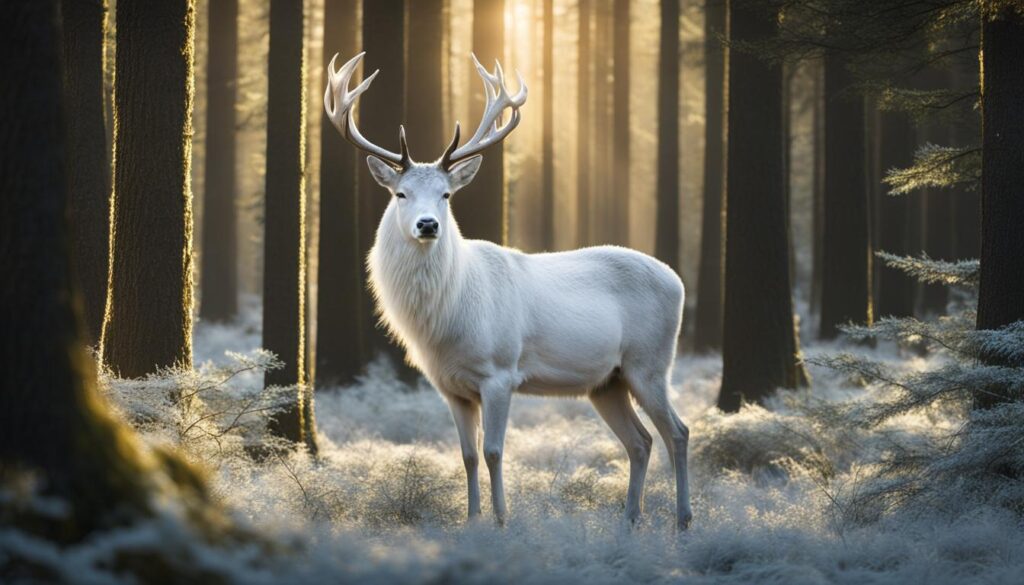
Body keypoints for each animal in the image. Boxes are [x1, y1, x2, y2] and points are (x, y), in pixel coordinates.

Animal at [324, 52, 692, 530]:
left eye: (446, 195)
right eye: (400, 193)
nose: (428, 224)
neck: (447, 320)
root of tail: (678, 281)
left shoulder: (500, 372)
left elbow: (495, 451)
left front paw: (501, 521)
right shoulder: (450, 386)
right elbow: (465, 455)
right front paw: (471, 520)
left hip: (650, 362)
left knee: (678, 432)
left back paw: (683, 520)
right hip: (607, 382)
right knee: (641, 440)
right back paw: (630, 520)